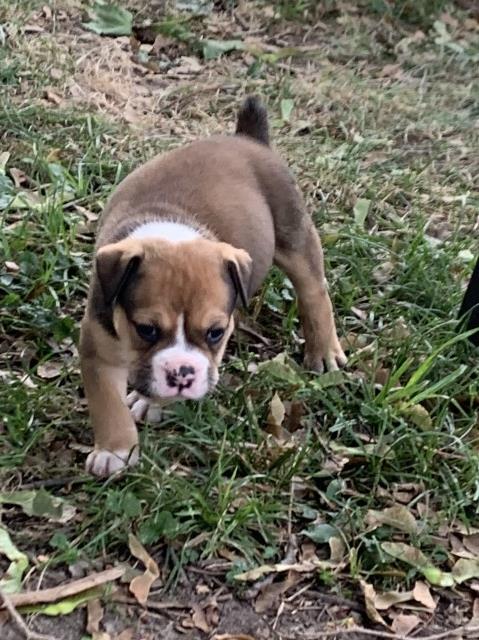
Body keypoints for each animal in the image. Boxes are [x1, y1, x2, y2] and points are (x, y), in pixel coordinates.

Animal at [80, 96, 346, 476]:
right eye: (146, 330)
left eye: (216, 333)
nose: (183, 374)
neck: (171, 229)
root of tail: (249, 139)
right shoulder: (97, 345)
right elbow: (107, 402)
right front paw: (114, 450)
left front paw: (150, 405)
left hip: (295, 235)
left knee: (314, 292)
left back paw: (323, 351)